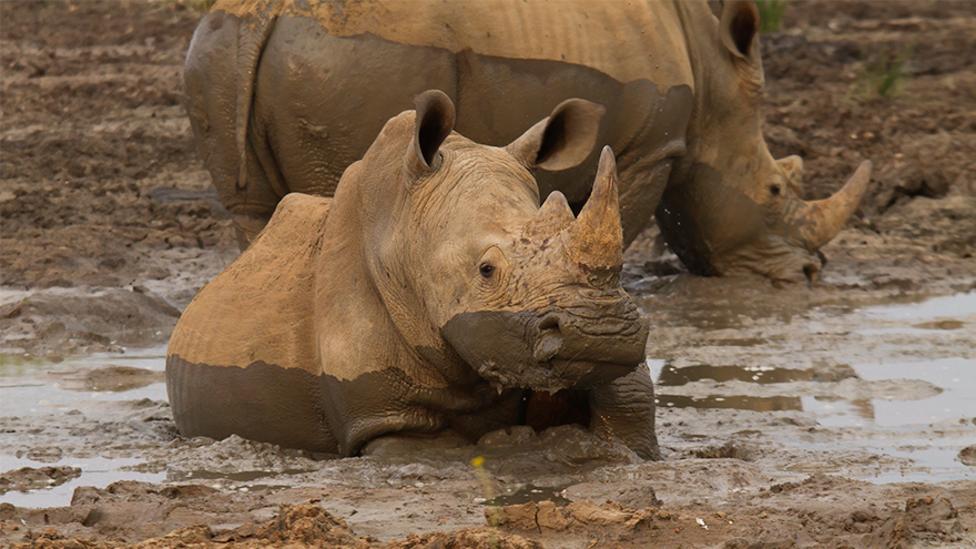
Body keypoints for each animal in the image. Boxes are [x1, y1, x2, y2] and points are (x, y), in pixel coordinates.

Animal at [168, 91, 660, 458]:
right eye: (486, 270)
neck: (403, 231)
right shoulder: (384, 419)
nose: (603, 333)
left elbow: (626, 403)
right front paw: (515, 444)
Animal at [187, 0, 872, 282]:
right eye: (776, 189)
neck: (711, 87)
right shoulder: (650, 149)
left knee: (258, 214)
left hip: (222, 52)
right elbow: (626, 218)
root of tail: (263, 16)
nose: (809, 273)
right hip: (348, 61)